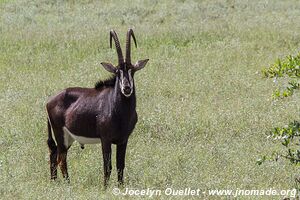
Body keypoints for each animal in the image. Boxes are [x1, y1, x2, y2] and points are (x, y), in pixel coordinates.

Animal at [46, 28, 149, 187]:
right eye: (117, 71)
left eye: (132, 70)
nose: (126, 88)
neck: (121, 112)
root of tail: (49, 101)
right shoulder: (105, 139)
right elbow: (107, 166)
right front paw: (105, 188)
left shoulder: (123, 140)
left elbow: (120, 166)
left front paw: (120, 188)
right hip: (60, 134)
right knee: (61, 159)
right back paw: (68, 185)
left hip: (68, 138)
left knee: (54, 154)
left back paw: (54, 182)